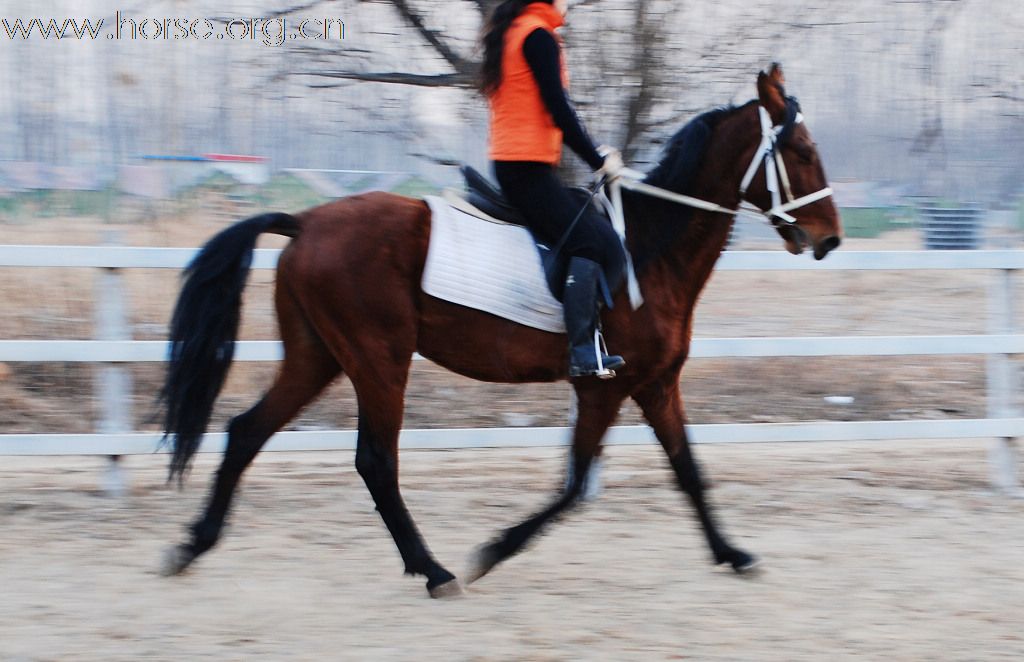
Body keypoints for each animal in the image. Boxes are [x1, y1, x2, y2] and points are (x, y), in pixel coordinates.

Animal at [161, 64, 839, 598]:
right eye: (803, 151)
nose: (830, 239)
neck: (649, 251)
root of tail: (305, 222)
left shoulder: (655, 384)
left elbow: (689, 471)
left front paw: (733, 554)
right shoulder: (603, 387)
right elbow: (574, 484)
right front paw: (494, 550)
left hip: (317, 356)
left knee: (246, 432)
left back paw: (193, 545)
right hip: (378, 360)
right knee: (375, 460)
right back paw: (434, 571)